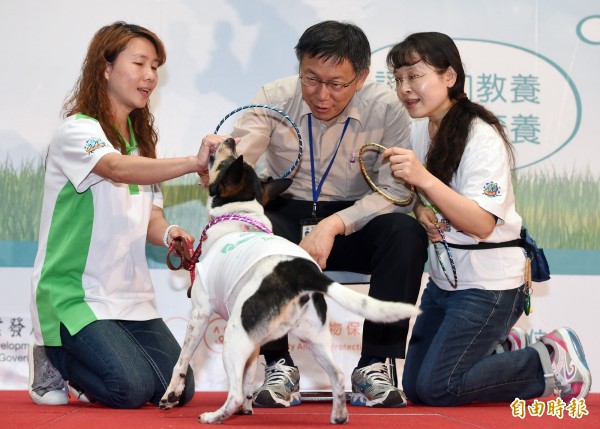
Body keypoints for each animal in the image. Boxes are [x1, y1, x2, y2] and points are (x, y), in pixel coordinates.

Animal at [162, 139, 420, 422]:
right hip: (313, 338)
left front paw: (171, 395)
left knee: (234, 393)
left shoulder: (200, 313)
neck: (239, 213)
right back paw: (338, 416)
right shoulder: (254, 340)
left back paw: (214, 416)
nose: (229, 140)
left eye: (224, 163)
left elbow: (182, 361)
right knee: (338, 376)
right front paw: (248, 409)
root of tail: (303, 271)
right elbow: (248, 376)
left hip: (234, 335)